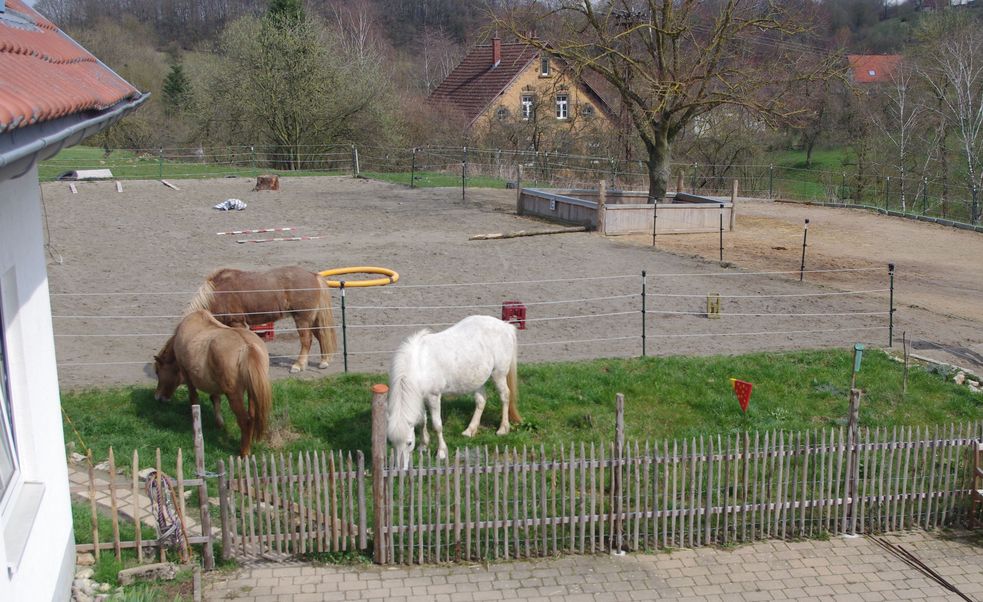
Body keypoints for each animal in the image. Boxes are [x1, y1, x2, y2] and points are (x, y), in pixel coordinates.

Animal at [156, 310, 274, 454]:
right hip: (252, 392)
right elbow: (215, 399)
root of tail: (248, 347)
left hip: (234, 394)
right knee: (252, 416)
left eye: (157, 371)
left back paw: (244, 452)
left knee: (245, 420)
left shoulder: (187, 375)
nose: (158, 397)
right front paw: (219, 423)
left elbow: (194, 399)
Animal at [188, 266, 338, 370]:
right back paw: (324, 361)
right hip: (312, 319)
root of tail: (313, 275)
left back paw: (298, 365)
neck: (218, 294)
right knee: (321, 335)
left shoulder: (237, 323)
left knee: (307, 340)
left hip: (303, 319)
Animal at [386, 314, 524, 468]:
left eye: (409, 443)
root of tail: (506, 326)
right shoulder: (420, 397)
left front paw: (441, 452)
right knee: (481, 401)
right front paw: (423, 445)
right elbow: (422, 421)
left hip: (498, 374)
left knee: (505, 396)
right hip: (478, 379)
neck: (419, 365)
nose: (400, 469)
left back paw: (503, 429)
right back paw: (470, 430)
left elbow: (437, 425)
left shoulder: (433, 396)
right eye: (392, 442)